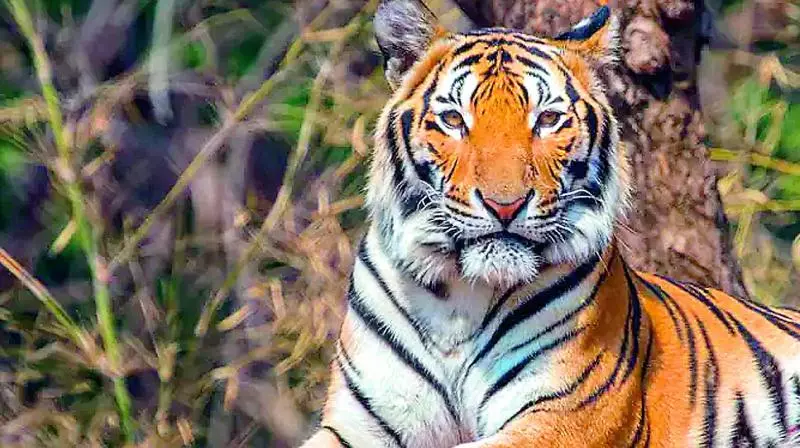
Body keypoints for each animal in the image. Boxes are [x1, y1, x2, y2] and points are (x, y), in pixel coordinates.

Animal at [300, 0, 800, 446]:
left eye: (548, 119)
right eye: (454, 119)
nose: (504, 205)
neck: (458, 299)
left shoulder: (567, 417)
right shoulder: (356, 424)